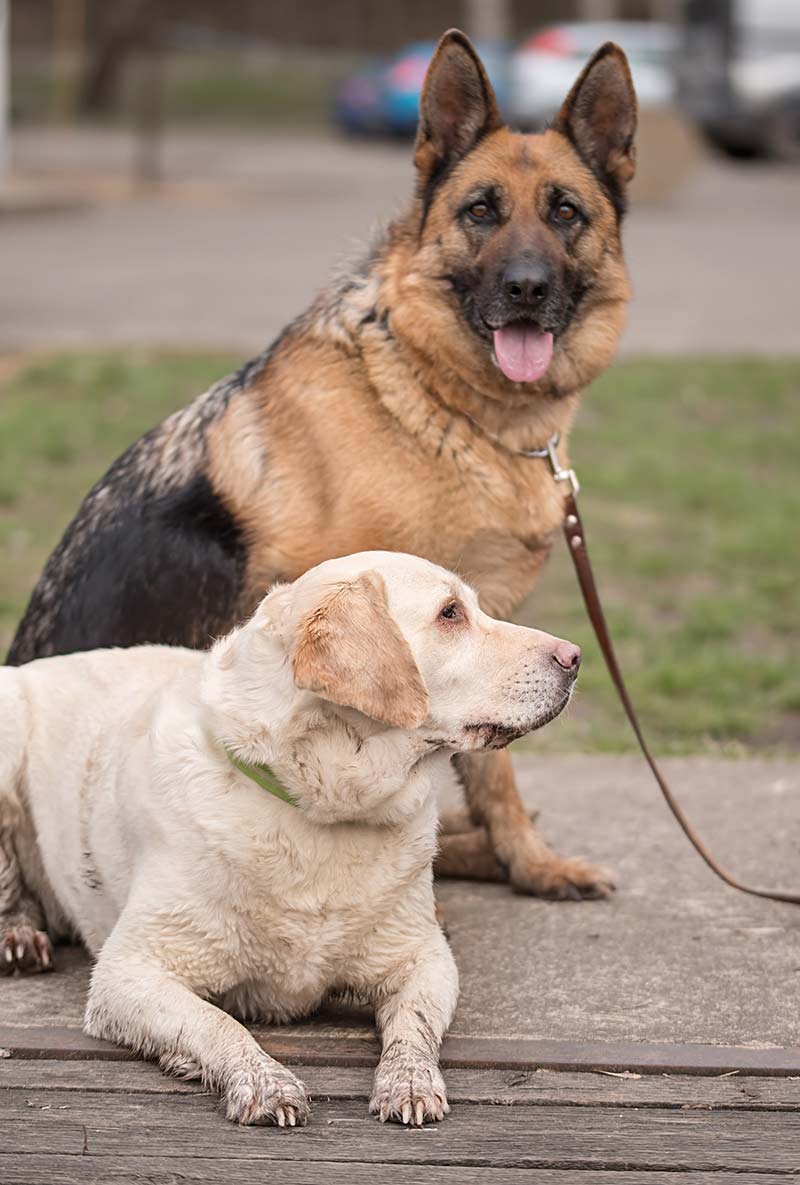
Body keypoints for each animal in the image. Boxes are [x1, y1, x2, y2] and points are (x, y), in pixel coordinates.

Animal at [0, 549, 578, 1123]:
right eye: (450, 613)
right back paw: (19, 937)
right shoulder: (128, 972)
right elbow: (217, 1022)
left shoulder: (424, 957)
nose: (573, 656)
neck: (327, 808)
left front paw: (408, 1081)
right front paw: (263, 1081)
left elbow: (412, 1027)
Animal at [3, 30, 635, 895]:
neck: (447, 406)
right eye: (481, 211)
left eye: (565, 211)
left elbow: (493, 766)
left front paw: (529, 861)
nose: (527, 289)